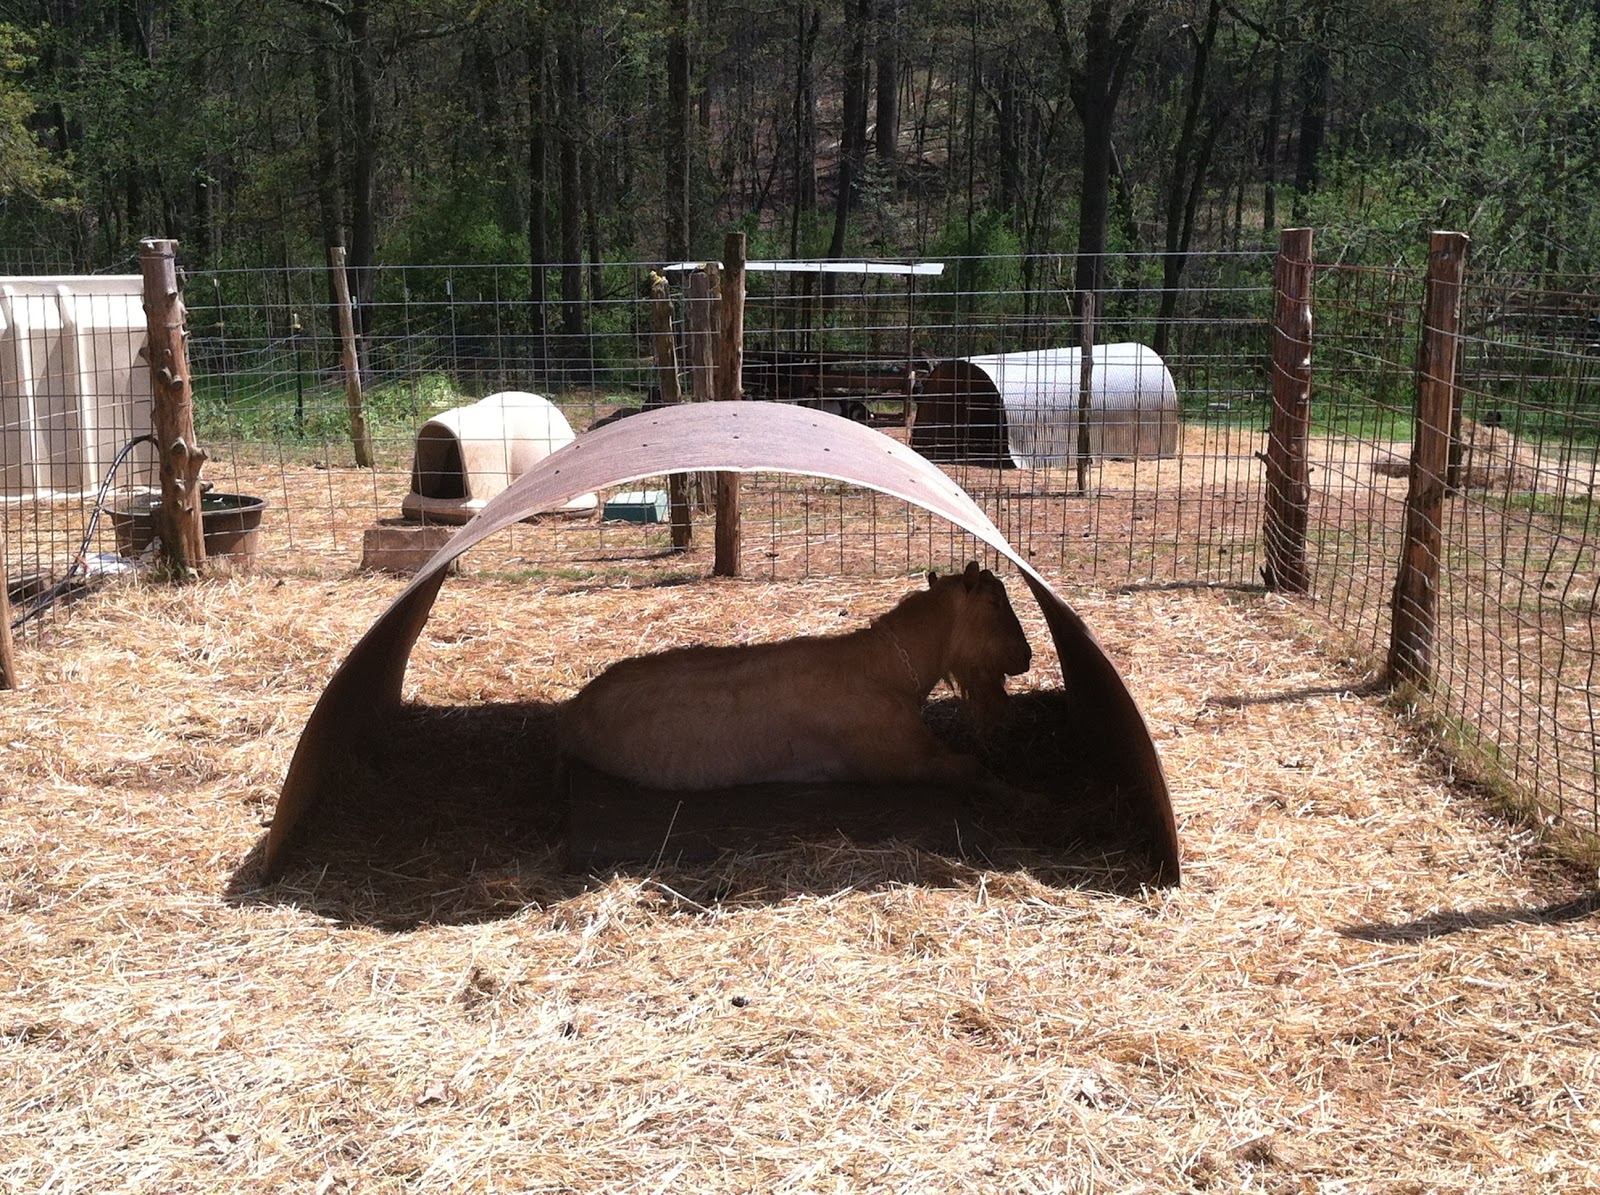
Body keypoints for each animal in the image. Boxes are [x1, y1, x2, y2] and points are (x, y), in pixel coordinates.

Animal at [559, 562, 1033, 791]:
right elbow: (974, 770)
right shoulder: (903, 760)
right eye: (995, 602)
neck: (885, 668)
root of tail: (574, 710)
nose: (1026, 656)